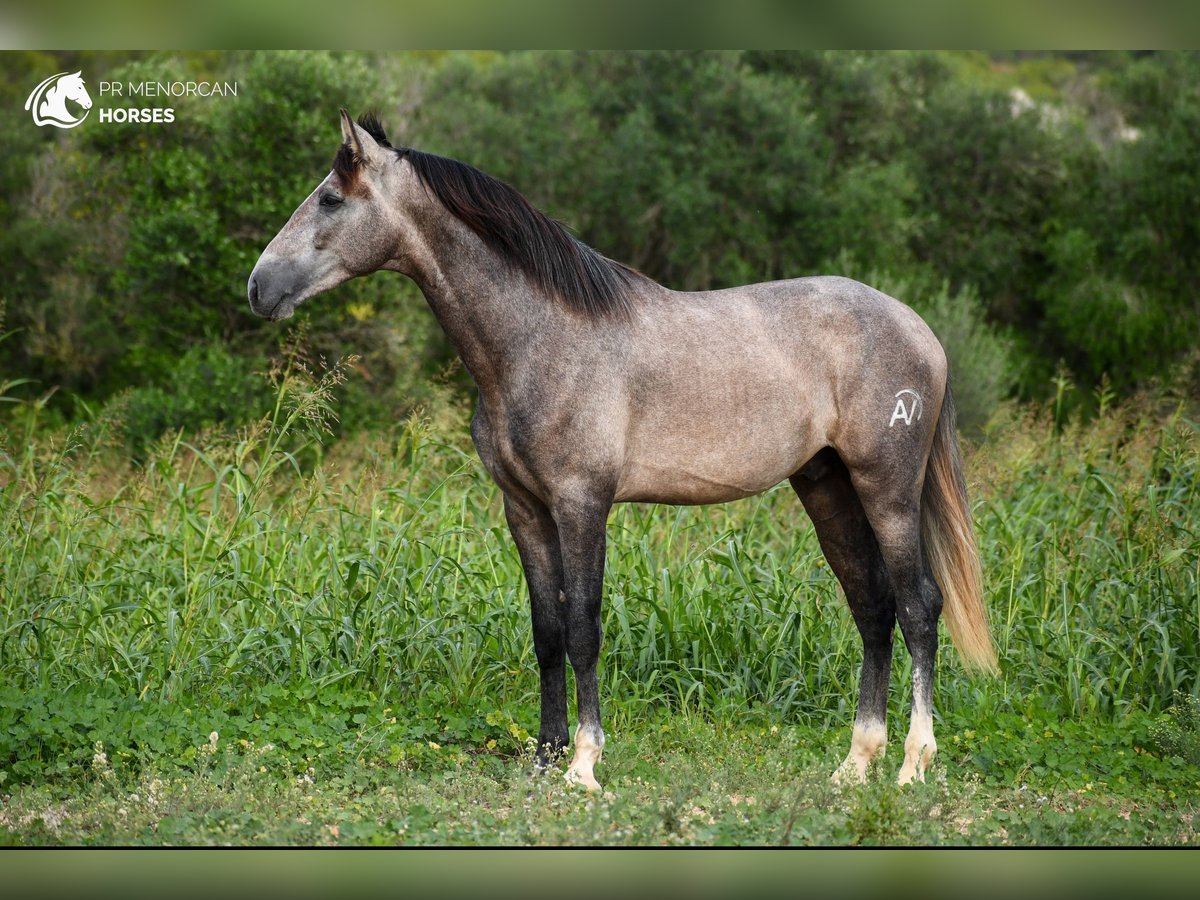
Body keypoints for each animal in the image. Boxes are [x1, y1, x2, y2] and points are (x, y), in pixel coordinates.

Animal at [246, 111, 993, 787]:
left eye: (331, 198)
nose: (259, 287)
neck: (540, 340)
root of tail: (920, 330)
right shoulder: (524, 509)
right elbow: (547, 631)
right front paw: (544, 761)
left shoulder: (582, 504)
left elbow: (583, 627)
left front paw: (583, 763)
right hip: (827, 486)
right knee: (873, 607)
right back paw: (855, 764)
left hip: (886, 490)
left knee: (919, 608)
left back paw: (912, 764)